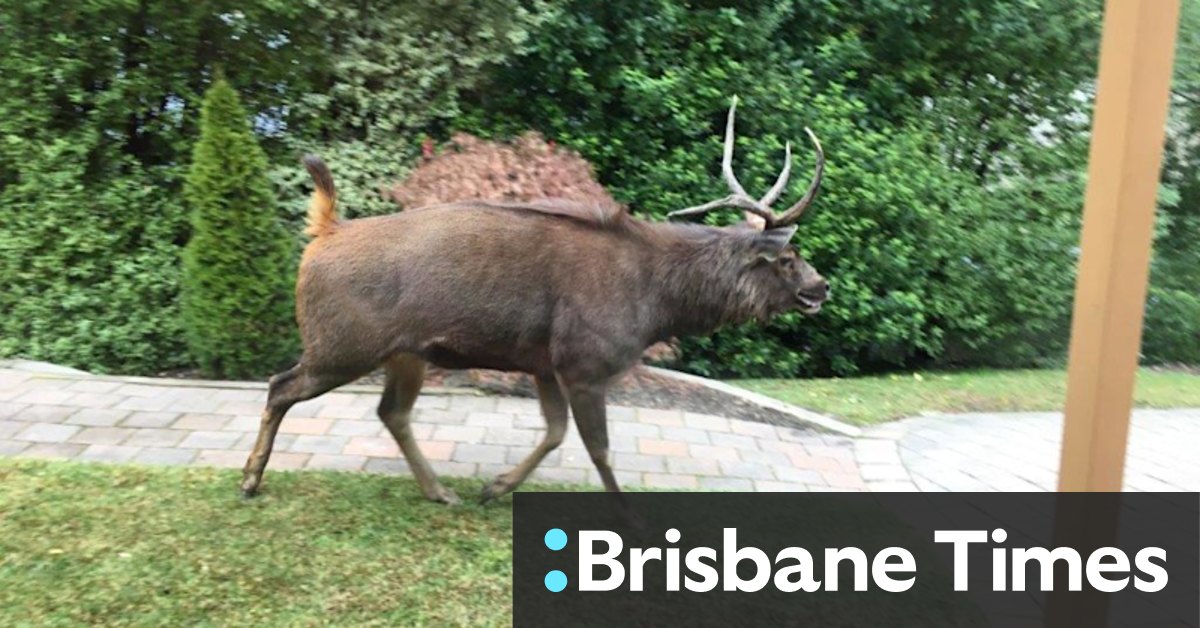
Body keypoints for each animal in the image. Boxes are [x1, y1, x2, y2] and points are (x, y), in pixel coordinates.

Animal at [240, 97, 830, 507]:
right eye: (787, 258)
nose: (821, 286)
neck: (656, 304)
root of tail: (323, 233)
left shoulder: (545, 362)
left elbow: (553, 432)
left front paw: (495, 488)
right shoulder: (585, 360)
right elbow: (598, 448)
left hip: (404, 351)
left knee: (390, 412)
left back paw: (440, 491)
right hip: (343, 342)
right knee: (280, 385)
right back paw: (250, 479)